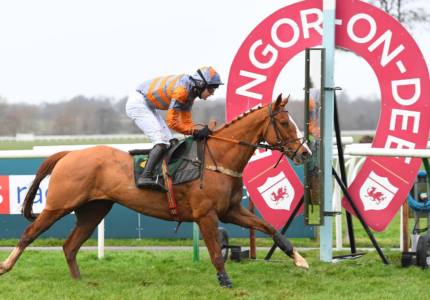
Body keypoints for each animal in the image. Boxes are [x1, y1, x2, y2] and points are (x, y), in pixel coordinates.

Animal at [0, 94, 310, 288]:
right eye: (284, 123)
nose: (305, 153)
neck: (217, 159)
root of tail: (68, 154)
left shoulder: (231, 211)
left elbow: (269, 226)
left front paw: (299, 259)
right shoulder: (206, 214)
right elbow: (215, 252)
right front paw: (226, 283)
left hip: (93, 210)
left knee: (70, 245)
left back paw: (80, 283)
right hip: (59, 205)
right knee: (29, 234)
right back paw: (5, 266)